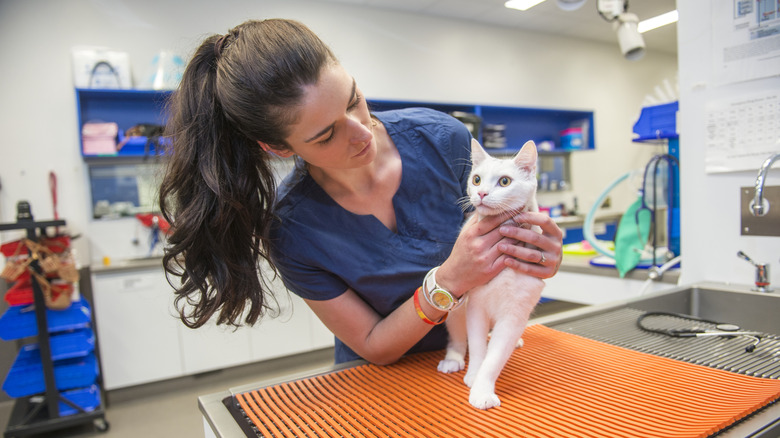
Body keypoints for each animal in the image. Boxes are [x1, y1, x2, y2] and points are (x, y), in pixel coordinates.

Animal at [436, 138, 544, 410]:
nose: (482, 193)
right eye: (476, 179)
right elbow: (476, 347)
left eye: (504, 181)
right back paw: (453, 359)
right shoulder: (476, 307)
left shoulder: (515, 314)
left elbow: (495, 357)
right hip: (456, 309)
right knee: (457, 337)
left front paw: (483, 389)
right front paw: (474, 375)